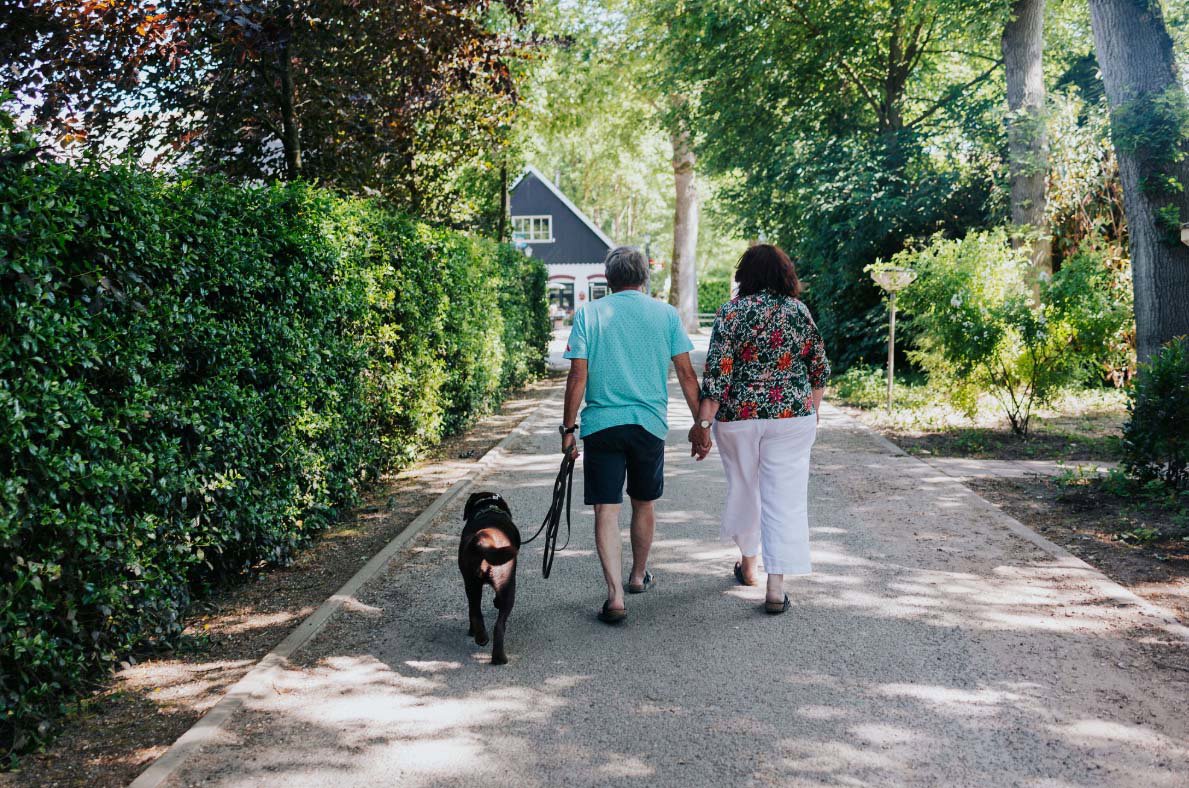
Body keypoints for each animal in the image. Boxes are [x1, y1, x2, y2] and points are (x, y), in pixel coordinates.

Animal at [459, 491, 521, 665]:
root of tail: (483, 541)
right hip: (507, 586)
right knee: (499, 625)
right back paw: (500, 658)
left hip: (471, 583)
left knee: (474, 611)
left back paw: (480, 637)